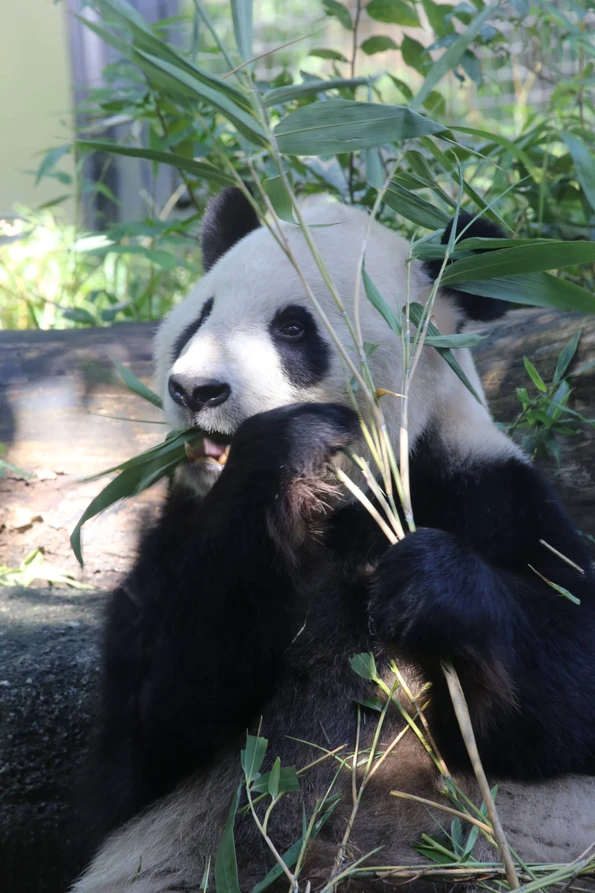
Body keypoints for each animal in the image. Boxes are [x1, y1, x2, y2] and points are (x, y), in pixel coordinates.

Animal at [72, 188, 595, 893]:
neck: (347, 501)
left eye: (293, 328)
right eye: (200, 316)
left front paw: (428, 586)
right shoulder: (177, 531)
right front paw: (284, 447)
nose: (195, 390)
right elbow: (146, 732)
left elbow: (572, 668)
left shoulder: (484, 491)